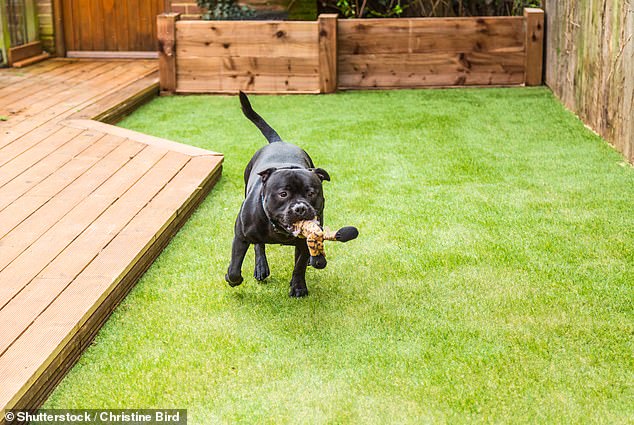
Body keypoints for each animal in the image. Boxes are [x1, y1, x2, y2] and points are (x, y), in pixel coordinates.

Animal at [225, 92, 328, 298]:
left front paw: (298, 286)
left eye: (311, 192)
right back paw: (261, 267)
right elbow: (234, 267)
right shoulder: (240, 236)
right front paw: (233, 279)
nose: (300, 208)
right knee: (258, 246)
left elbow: (299, 265)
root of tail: (278, 141)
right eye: (283, 194)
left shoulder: (303, 242)